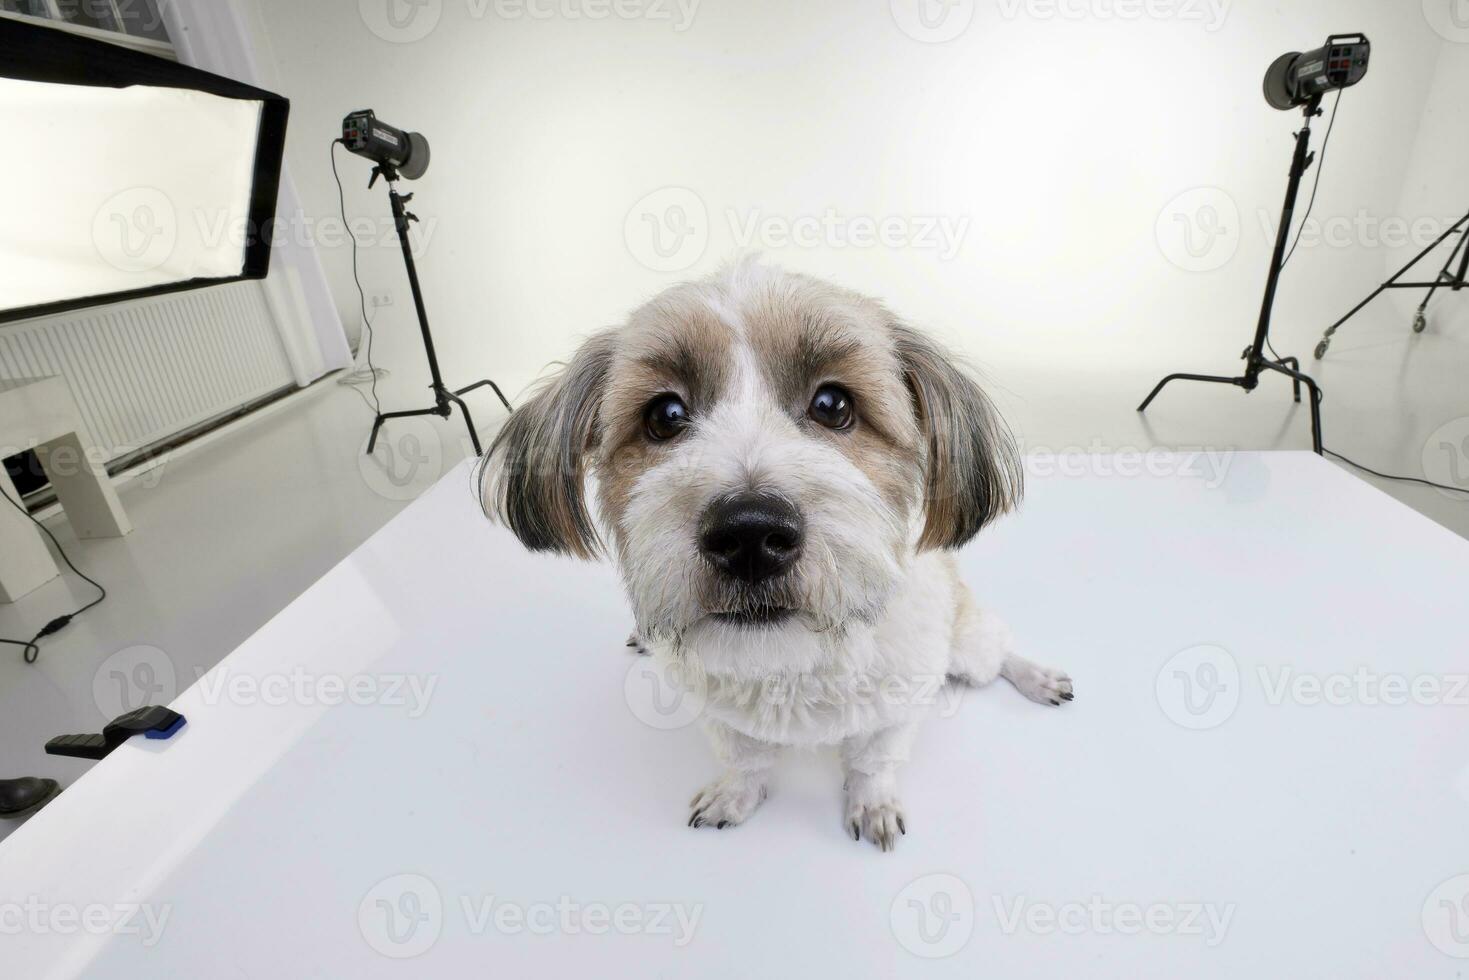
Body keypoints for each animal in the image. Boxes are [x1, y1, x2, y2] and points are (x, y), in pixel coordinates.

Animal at [481, 260, 1069, 852]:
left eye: (833, 405)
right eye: (665, 415)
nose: (749, 534)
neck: (790, 661)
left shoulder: (897, 708)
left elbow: (873, 760)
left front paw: (872, 802)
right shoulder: (719, 714)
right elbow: (746, 758)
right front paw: (736, 794)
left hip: (966, 643)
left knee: (997, 654)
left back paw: (1038, 677)